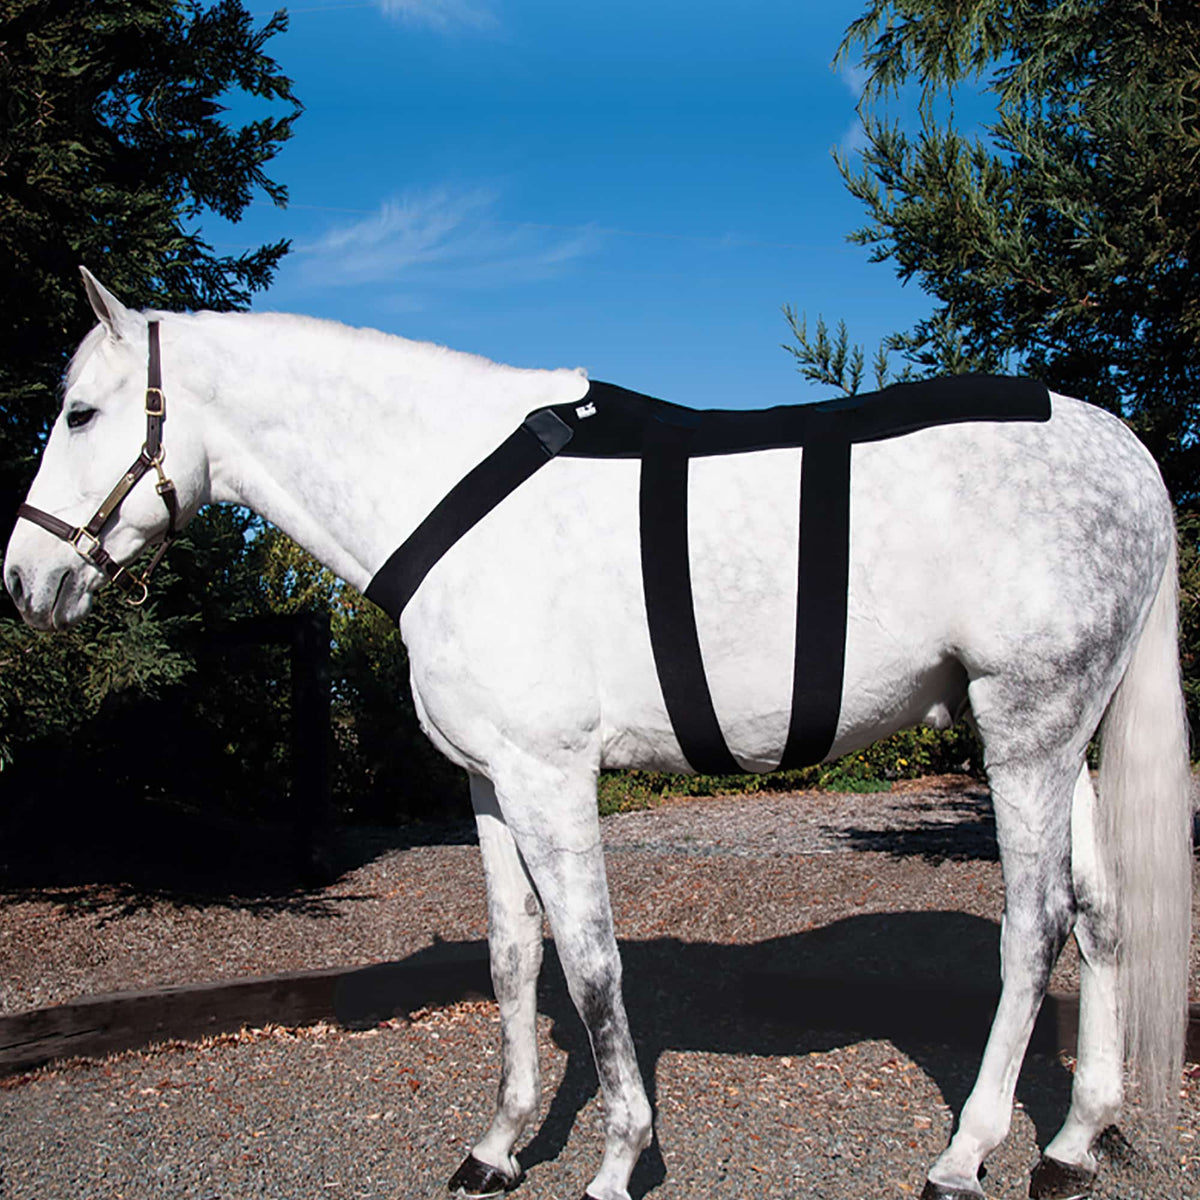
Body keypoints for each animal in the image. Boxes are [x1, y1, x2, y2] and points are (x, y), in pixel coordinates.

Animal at [4, 268, 1192, 1200]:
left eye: (80, 415)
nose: (24, 579)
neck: (452, 492)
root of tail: (1124, 448)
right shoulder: (488, 783)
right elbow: (513, 959)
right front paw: (497, 1147)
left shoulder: (551, 774)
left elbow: (589, 965)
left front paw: (619, 1158)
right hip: (1064, 737)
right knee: (1100, 915)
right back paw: (1074, 1144)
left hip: (1025, 730)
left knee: (1034, 927)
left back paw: (965, 1155)